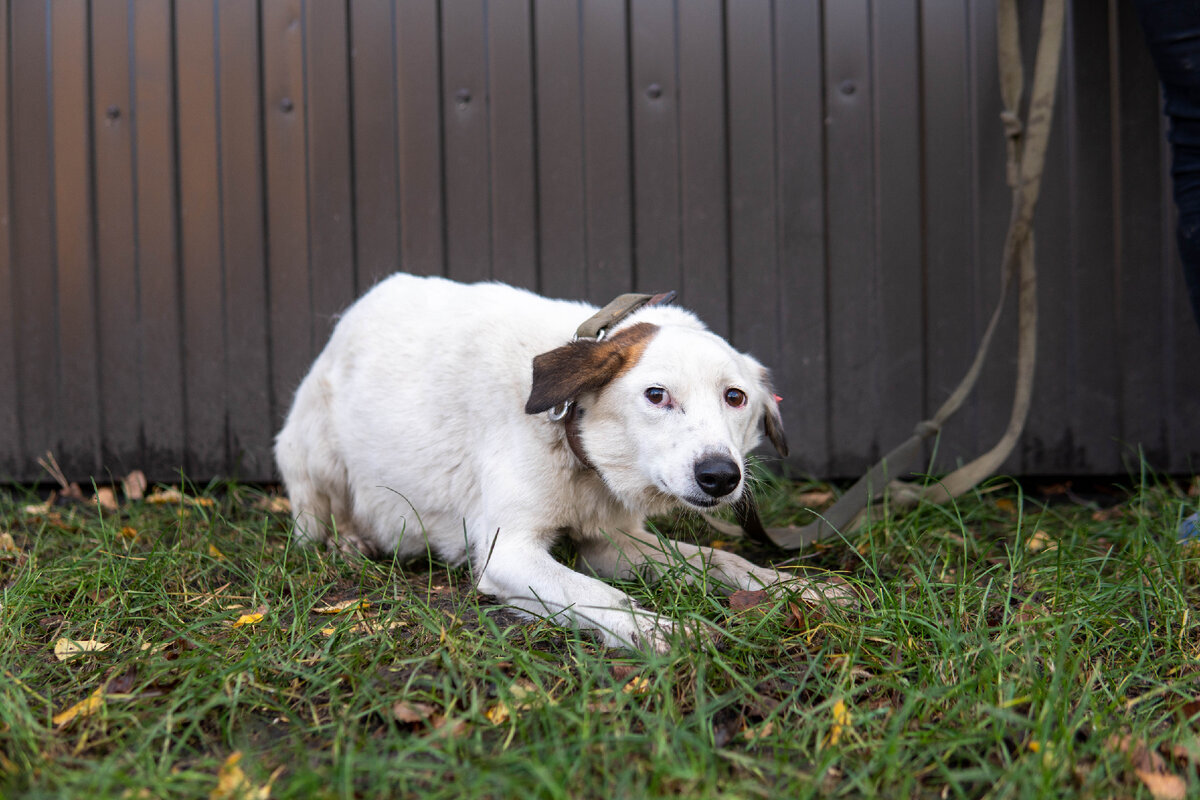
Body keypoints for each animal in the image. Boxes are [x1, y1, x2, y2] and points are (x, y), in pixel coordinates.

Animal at [278, 273, 844, 652]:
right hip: (312, 451)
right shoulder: (507, 553)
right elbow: (598, 595)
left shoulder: (613, 542)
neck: (574, 441)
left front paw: (803, 589)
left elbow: (722, 560)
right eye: (656, 395)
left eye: (735, 397)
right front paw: (662, 629)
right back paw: (348, 542)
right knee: (313, 520)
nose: (721, 477)